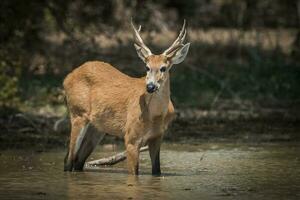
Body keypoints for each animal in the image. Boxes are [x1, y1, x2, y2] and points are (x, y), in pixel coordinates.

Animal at [63, 19, 190, 174]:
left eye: (163, 68)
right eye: (147, 67)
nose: (150, 87)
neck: (155, 116)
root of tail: (67, 77)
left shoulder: (157, 136)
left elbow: (157, 171)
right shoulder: (131, 137)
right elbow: (134, 173)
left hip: (97, 127)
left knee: (78, 160)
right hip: (78, 113)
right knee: (69, 159)